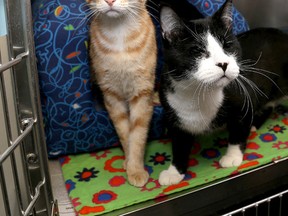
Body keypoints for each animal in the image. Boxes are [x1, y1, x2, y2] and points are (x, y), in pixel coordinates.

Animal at [87, 0, 158, 186]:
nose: (110, 1)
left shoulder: (142, 92)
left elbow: (138, 135)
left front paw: (136, 169)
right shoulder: (111, 95)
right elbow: (124, 132)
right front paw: (129, 163)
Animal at [158, 0, 288, 186]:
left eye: (227, 46)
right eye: (197, 51)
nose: (223, 64)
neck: (197, 93)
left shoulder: (243, 98)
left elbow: (238, 129)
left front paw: (232, 156)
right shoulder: (173, 111)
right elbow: (179, 144)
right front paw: (174, 171)